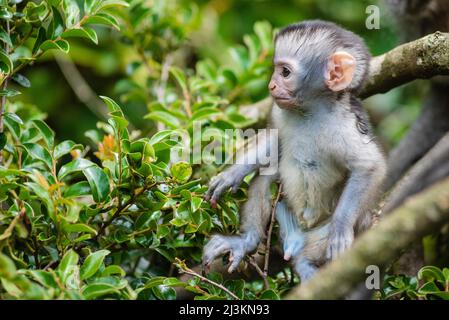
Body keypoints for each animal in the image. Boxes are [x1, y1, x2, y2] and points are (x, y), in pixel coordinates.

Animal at [202, 20, 384, 280]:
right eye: (276, 69)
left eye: (285, 72)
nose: (271, 85)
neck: (310, 112)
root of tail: (295, 239)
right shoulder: (280, 112)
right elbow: (273, 142)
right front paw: (232, 175)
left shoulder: (345, 127)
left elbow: (369, 166)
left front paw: (340, 231)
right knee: (265, 177)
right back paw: (246, 241)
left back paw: (305, 264)